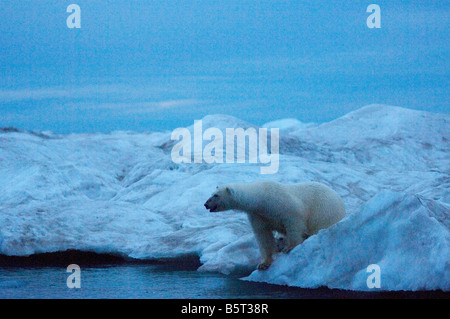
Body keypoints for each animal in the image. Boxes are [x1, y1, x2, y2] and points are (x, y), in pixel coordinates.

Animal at [204, 181, 344, 272]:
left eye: (216, 195)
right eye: (212, 193)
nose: (206, 204)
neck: (262, 198)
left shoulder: (284, 205)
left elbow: (293, 223)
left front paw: (289, 247)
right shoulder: (258, 215)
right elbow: (263, 235)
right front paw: (264, 264)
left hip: (324, 210)